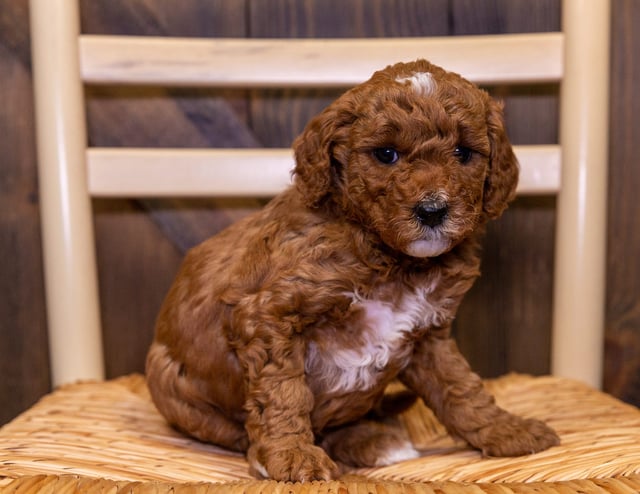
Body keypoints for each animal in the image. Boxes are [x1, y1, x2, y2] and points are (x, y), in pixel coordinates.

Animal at [148, 59, 556, 480]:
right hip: (168, 381)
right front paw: (292, 454)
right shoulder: (267, 316)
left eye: (462, 152)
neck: (389, 257)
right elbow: (282, 392)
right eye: (386, 154)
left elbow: (460, 387)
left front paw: (505, 429)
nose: (432, 210)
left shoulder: (429, 335)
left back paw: (374, 440)